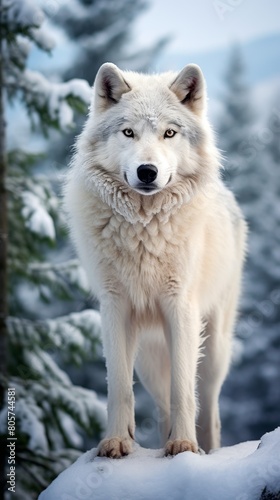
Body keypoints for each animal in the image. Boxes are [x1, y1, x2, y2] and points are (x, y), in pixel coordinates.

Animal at [64, 61, 247, 458]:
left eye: (169, 133)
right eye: (128, 132)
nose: (147, 171)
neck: (144, 229)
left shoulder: (180, 307)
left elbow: (184, 391)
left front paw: (185, 446)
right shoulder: (114, 308)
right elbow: (118, 387)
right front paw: (116, 442)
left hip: (214, 348)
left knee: (208, 408)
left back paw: (203, 449)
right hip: (148, 359)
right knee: (162, 406)